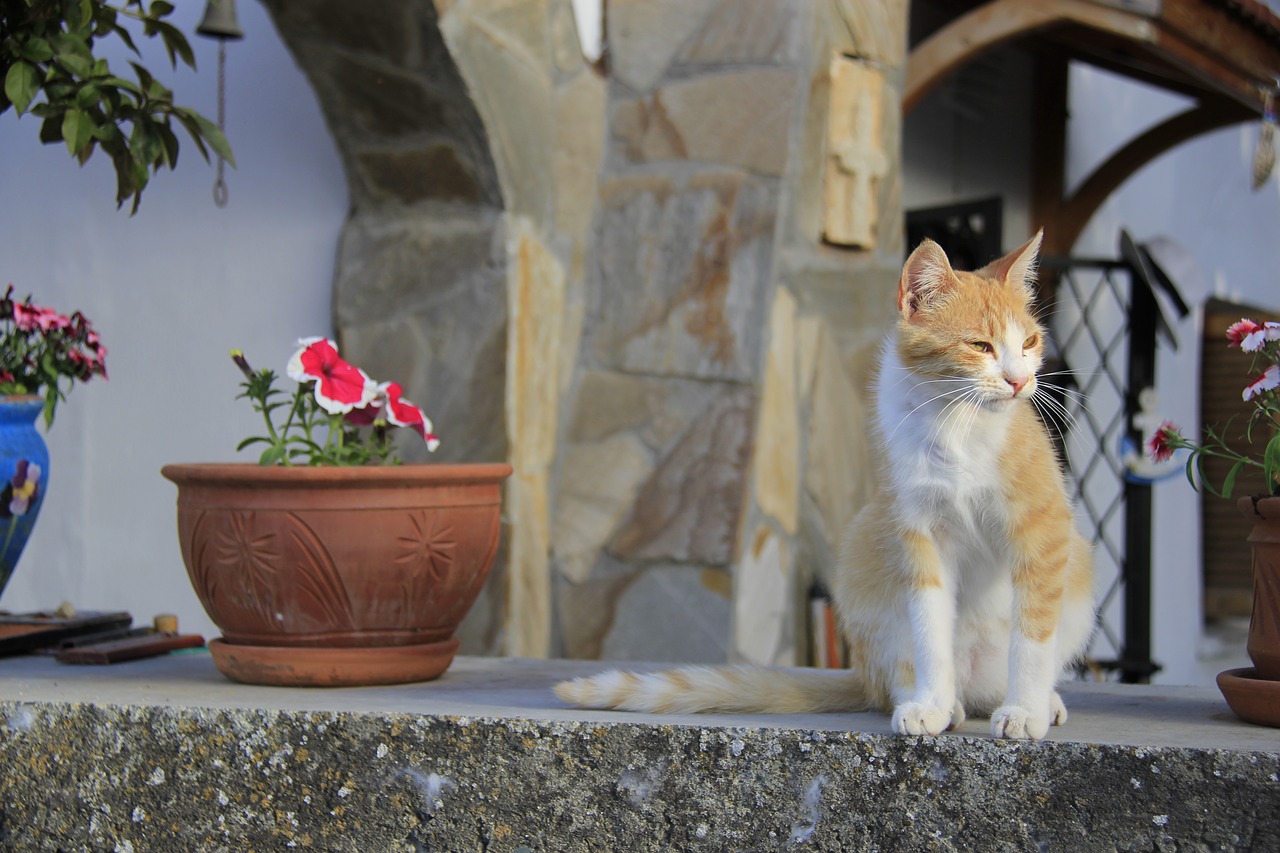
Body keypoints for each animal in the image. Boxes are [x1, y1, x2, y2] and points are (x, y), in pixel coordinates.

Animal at [555, 229, 1095, 732]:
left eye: (1029, 343)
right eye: (980, 346)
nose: (1020, 382)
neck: (955, 422)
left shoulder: (1044, 529)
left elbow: (1033, 635)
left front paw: (1024, 711)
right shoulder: (919, 532)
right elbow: (929, 629)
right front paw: (931, 704)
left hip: (1077, 567)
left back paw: (1038, 701)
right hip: (864, 549)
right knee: (898, 671)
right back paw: (941, 703)